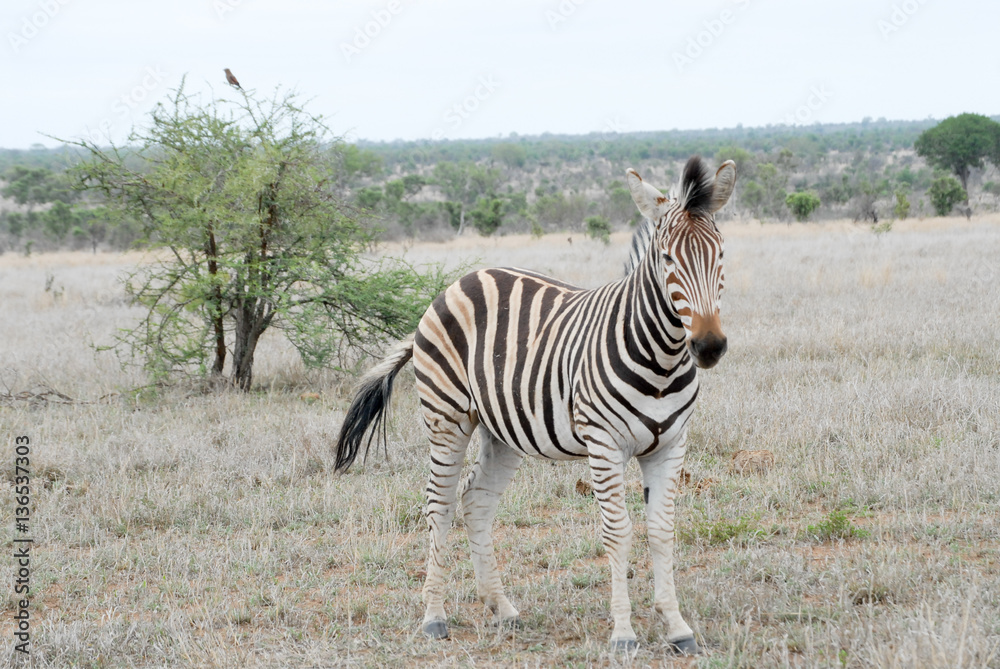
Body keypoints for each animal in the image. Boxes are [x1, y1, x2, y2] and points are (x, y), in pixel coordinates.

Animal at [334, 155, 736, 654]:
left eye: (721, 254)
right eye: (667, 259)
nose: (710, 346)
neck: (660, 359)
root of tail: (457, 283)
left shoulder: (671, 444)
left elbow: (662, 531)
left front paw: (677, 627)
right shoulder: (603, 445)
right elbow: (618, 532)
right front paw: (623, 634)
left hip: (501, 430)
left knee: (476, 502)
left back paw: (502, 608)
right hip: (447, 419)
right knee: (439, 505)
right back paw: (434, 618)